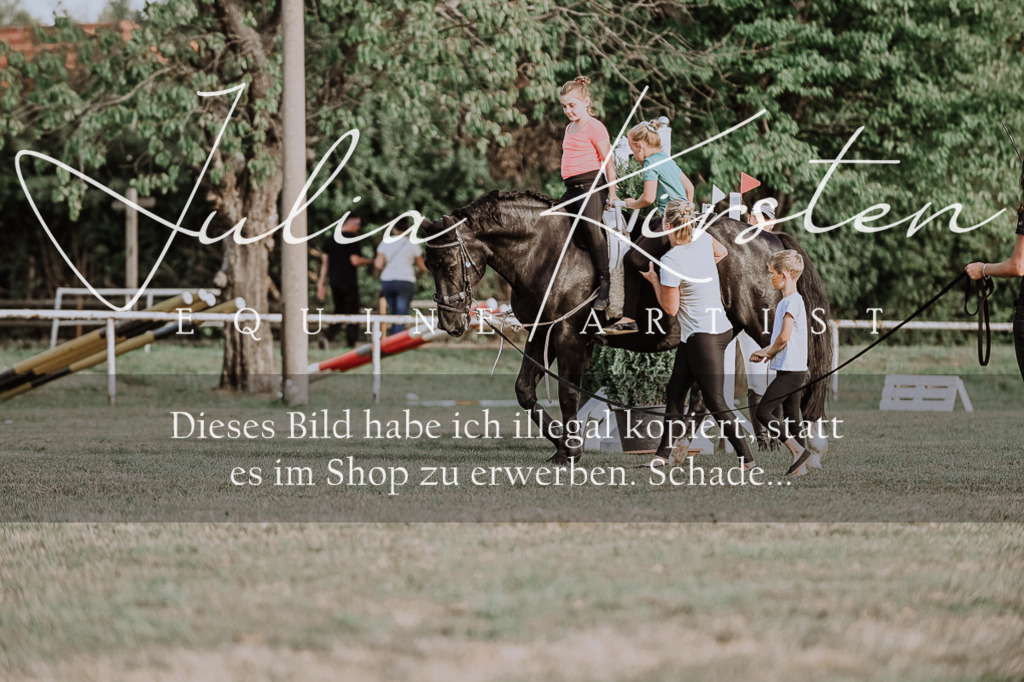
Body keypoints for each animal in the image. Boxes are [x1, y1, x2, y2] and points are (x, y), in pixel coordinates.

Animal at [422, 190, 833, 464]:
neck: (548, 251)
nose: (449, 322)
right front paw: (559, 447)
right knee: (700, 397)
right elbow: (524, 391)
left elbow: (569, 395)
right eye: (430, 265)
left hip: (764, 323)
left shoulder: (570, 337)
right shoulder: (542, 333)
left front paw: (570, 451)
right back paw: (674, 450)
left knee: (796, 371)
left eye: (448, 263)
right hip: (709, 336)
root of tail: (771, 239)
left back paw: (802, 441)